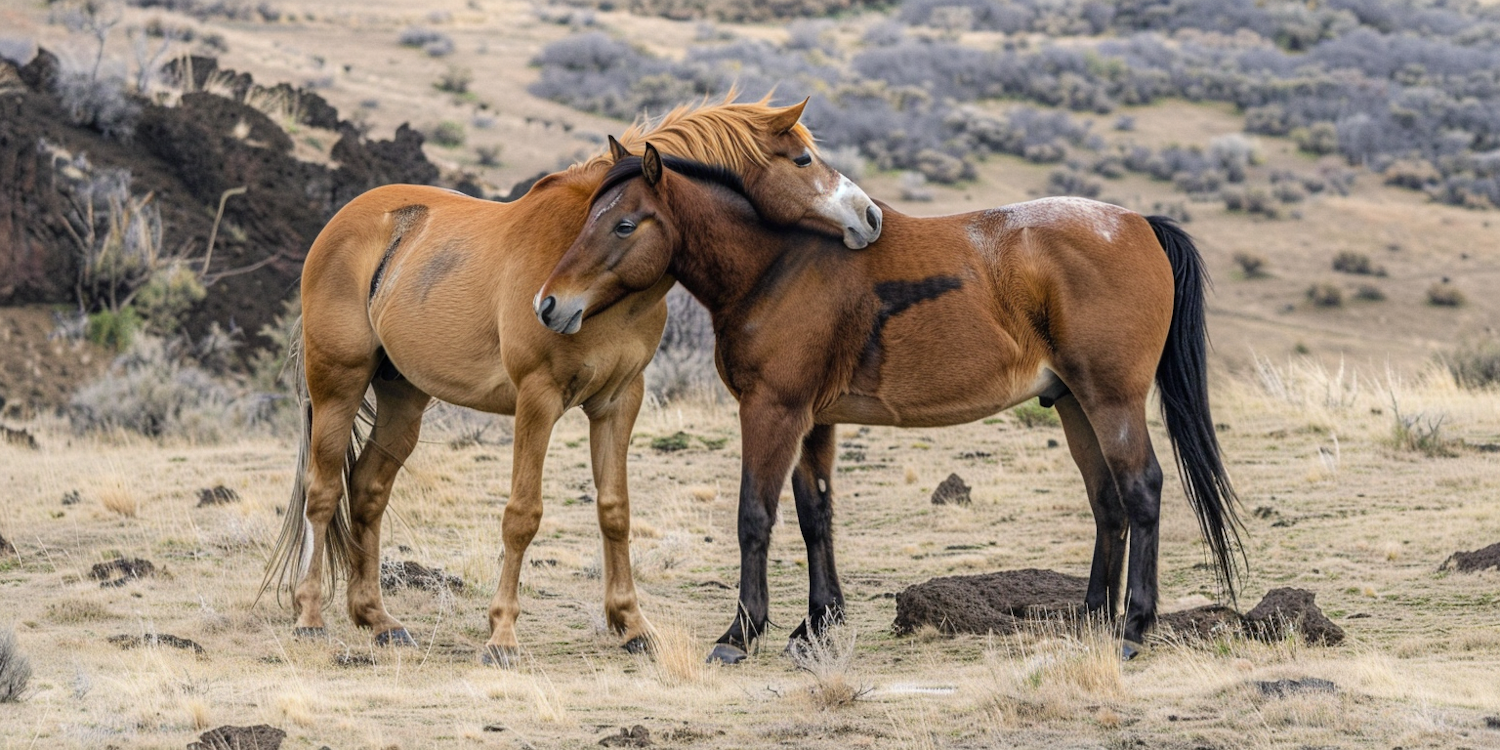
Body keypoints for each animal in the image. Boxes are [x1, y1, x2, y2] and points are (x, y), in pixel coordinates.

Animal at [261, 96, 876, 666]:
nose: (870, 217)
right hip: (338, 386)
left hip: (403, 397)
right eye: (802, 159)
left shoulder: (618, 401)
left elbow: (615, 510)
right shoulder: (538, 399)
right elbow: (522, 515)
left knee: (367, 490)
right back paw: (310, 617)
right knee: (323, 490)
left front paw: (632, 627)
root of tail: (340, 225)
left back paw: (378, 621)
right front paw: (502, 636)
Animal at [537, 144, 1242, 663]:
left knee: (1141, 491)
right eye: (590, 217)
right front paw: (816, 624)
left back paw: (1134, 629)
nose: (550, 303)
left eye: (624, 223)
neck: (776, 266)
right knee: (1107, 503)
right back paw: (1093, 620)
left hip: (1111, 401)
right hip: (1074, 405)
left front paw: (741, 634)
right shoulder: (812, 421)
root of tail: (1138, 225)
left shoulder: (772, 412)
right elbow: (815, 515)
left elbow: (755, 517)